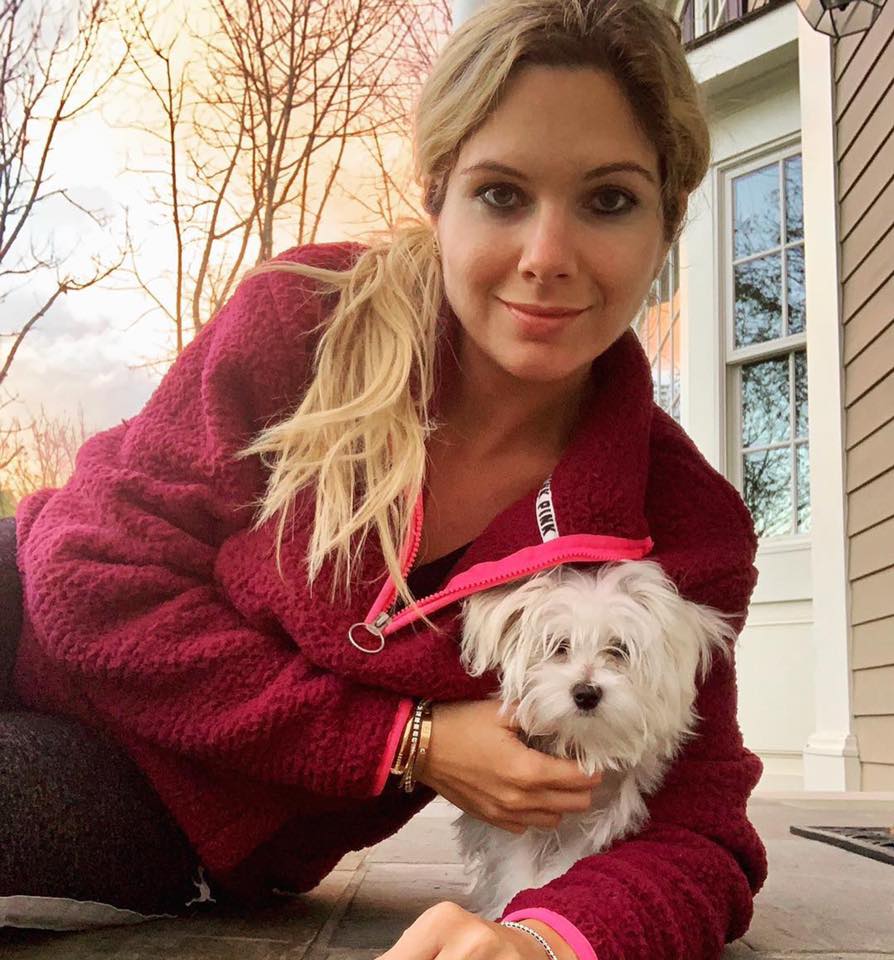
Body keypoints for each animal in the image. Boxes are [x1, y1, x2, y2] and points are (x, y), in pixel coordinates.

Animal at [454, 559, 737, 919]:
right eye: (558, 646)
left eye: (619, 649)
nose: (586, 693)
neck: (584, 747)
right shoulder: (515, 820)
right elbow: (517, 867)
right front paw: (507, 906)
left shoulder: (600, 818)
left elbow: (565, 866)